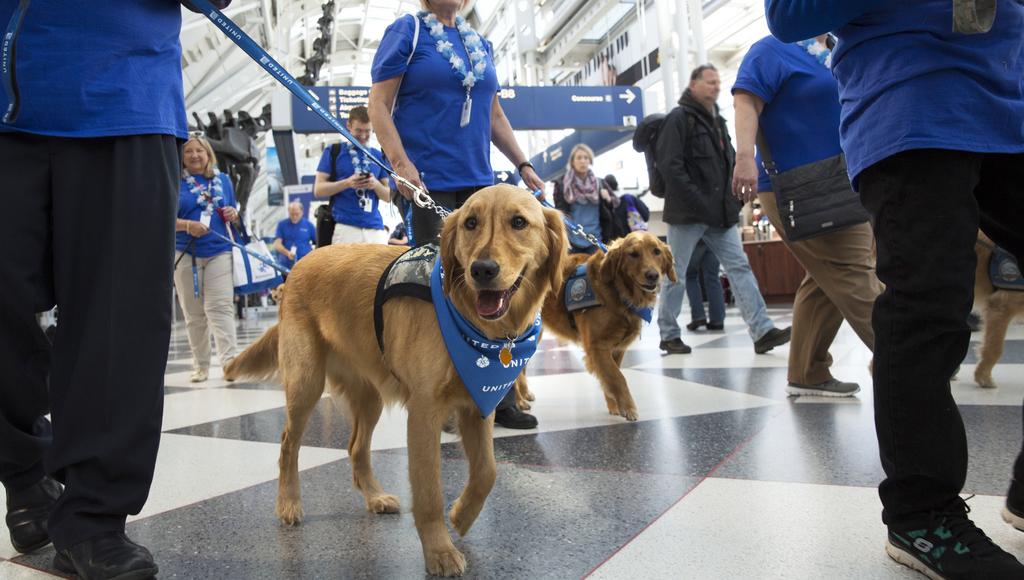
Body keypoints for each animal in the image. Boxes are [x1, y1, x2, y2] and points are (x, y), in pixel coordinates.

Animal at [223, 186, 569, 577]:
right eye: (470, 223)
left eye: (519, 222)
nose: (482, 270)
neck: (476, 326)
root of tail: (297, 266)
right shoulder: (424, 412)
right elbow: (429, 492)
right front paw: (439, 552)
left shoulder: (478, 403)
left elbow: (487, 472)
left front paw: (461, 516)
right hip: (306, 385)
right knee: (287, 445)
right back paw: (288, 503)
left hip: (370, 396)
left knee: (356, 448)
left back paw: (374, 497)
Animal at [516, 232, 675, 422]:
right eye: (633, 254)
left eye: (656, 251)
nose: (652, 275)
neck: (618, 292)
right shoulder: (597, 346)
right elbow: (617, 377)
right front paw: (629, 408)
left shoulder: (616, 349)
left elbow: (611, 377)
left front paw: (614, 405)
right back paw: (518, 402)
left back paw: (524, 394)